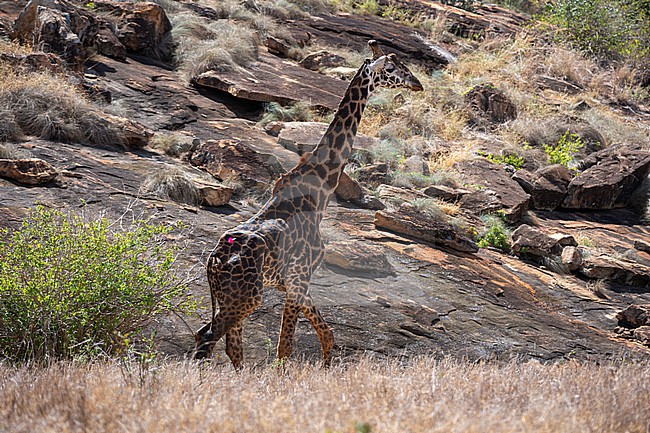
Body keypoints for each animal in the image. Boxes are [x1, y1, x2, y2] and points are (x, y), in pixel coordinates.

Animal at [195, 40, 422, 366]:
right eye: (392, 68)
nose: (417, 83)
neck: (321, 188)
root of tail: (213, 262)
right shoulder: (298, 279)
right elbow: (285, 349)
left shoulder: (298, 283)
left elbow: (327, 335)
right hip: (247, 296)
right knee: (209, 340)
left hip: (231, 296)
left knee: (222, 342)